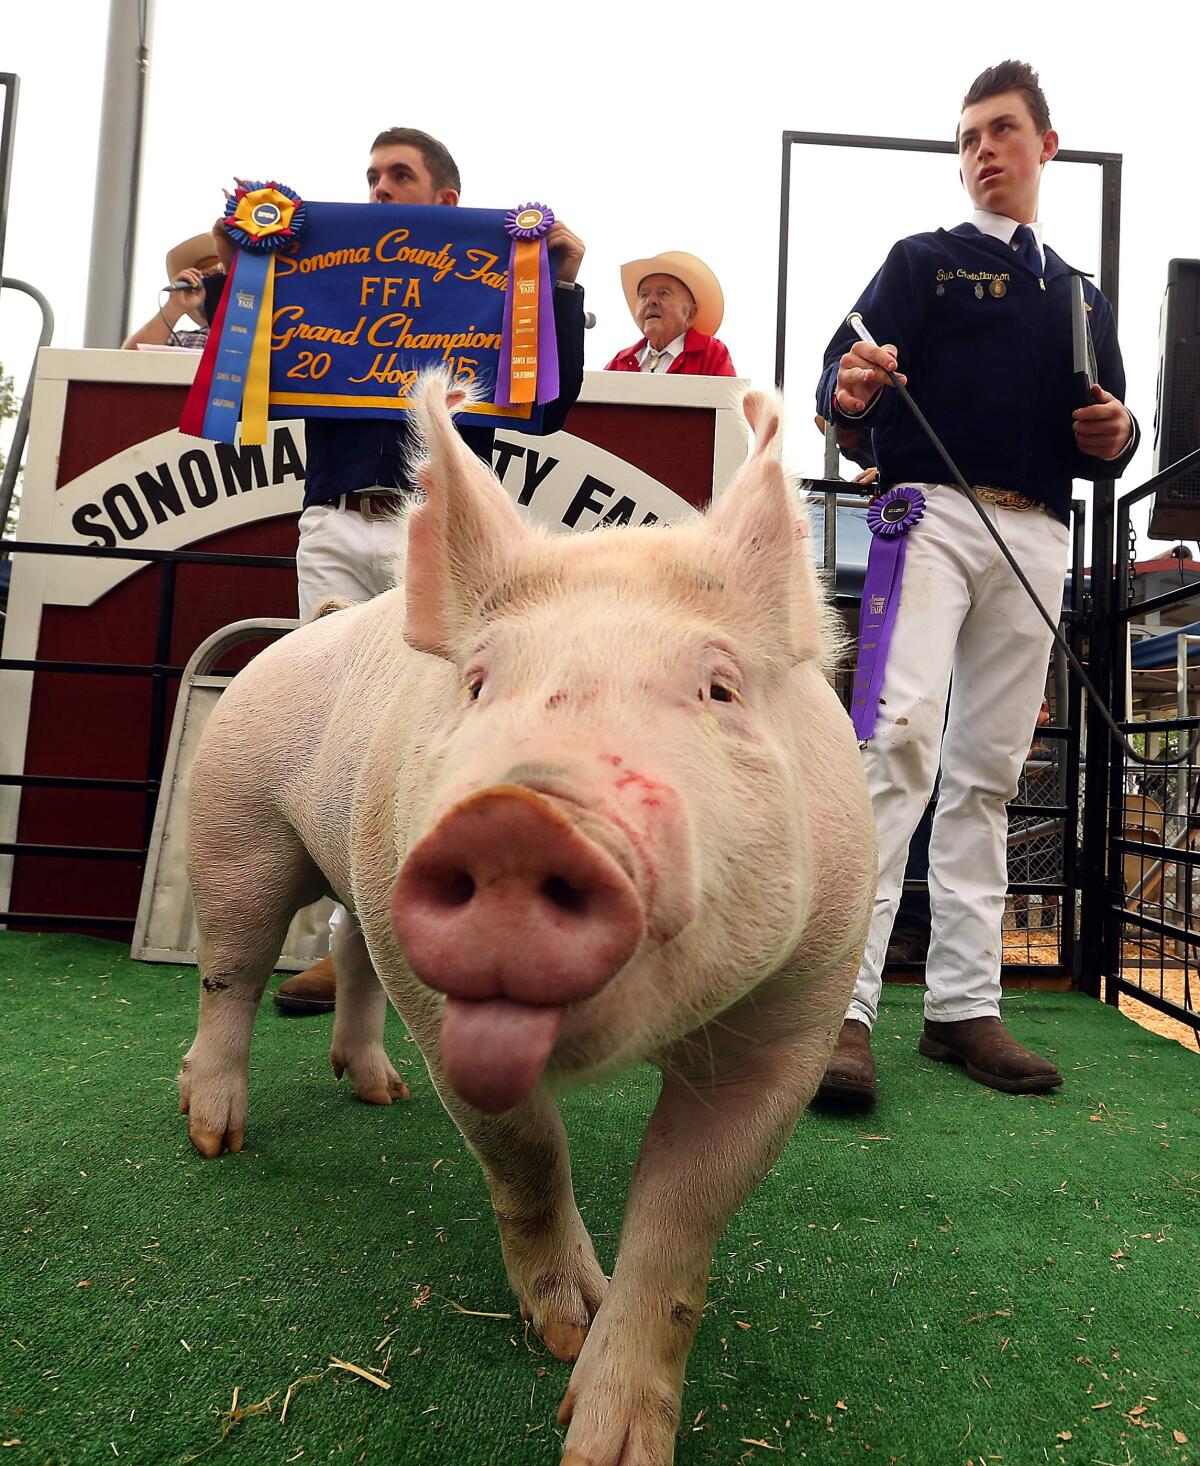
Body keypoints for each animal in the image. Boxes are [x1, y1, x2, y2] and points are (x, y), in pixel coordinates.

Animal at [178, 372, 873, 1460]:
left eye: (719, 686)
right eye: (477, 683)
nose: (516, 816)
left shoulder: (799, 1010)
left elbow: (681, 1226)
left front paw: (608, 1439)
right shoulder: (438, 1007)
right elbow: (525, 1150)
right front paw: (563, 1331)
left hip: (360, 870)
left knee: (350, 952)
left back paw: (379, 1092)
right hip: (235, 820)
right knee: (233, 971)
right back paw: (215, 1137)